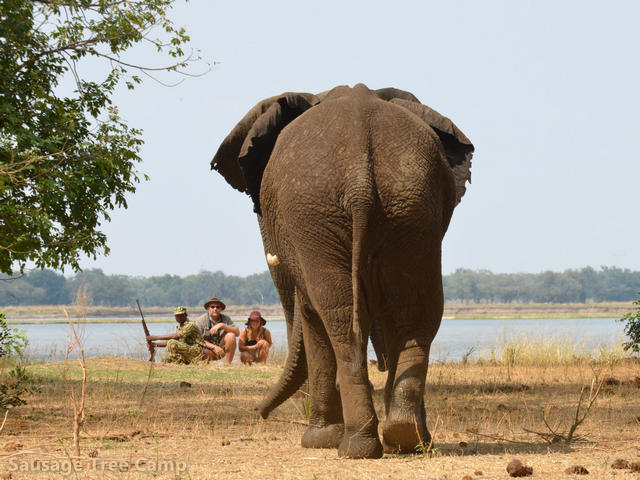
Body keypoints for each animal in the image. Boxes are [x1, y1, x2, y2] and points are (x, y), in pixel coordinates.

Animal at [211, 83, 474, 458]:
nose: (259, 413)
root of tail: (360, 180)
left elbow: (311, 319)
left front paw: (317, 441)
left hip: (317, 215)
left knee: (336, 316)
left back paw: (353, 446)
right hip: (413, 208)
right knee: (416, 311)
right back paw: (407, 438)